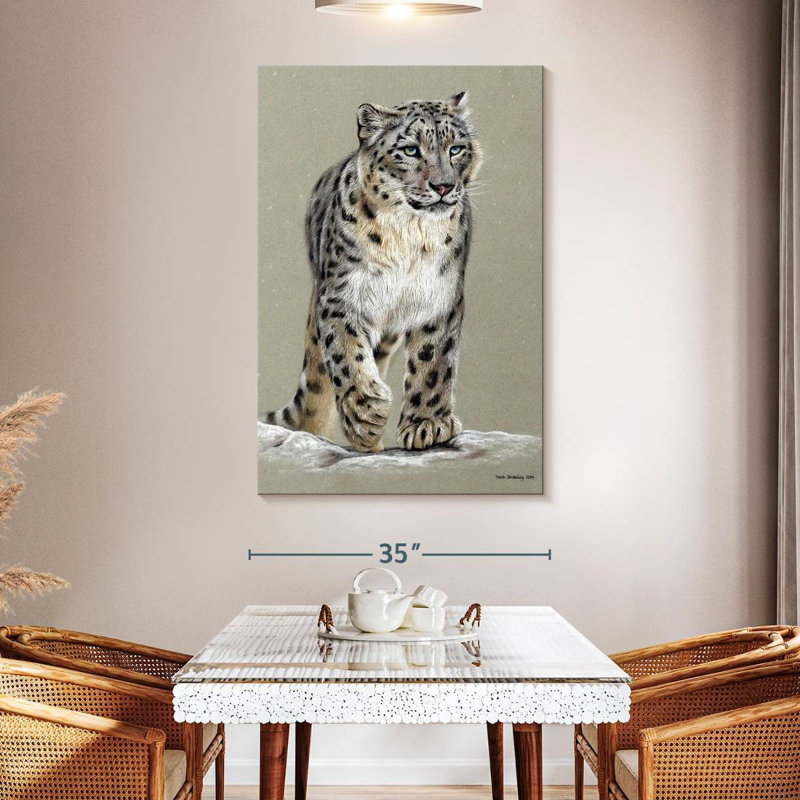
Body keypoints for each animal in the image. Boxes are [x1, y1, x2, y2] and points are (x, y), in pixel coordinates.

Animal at [262, 92, 483, 452]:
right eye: (410, 150)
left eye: (456, 148)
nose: (443, 186)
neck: (411, 235)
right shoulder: (342, 297)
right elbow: (347, 354)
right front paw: (366, 413)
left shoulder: (439, 297)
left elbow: (433, 362)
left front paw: (427, 424)